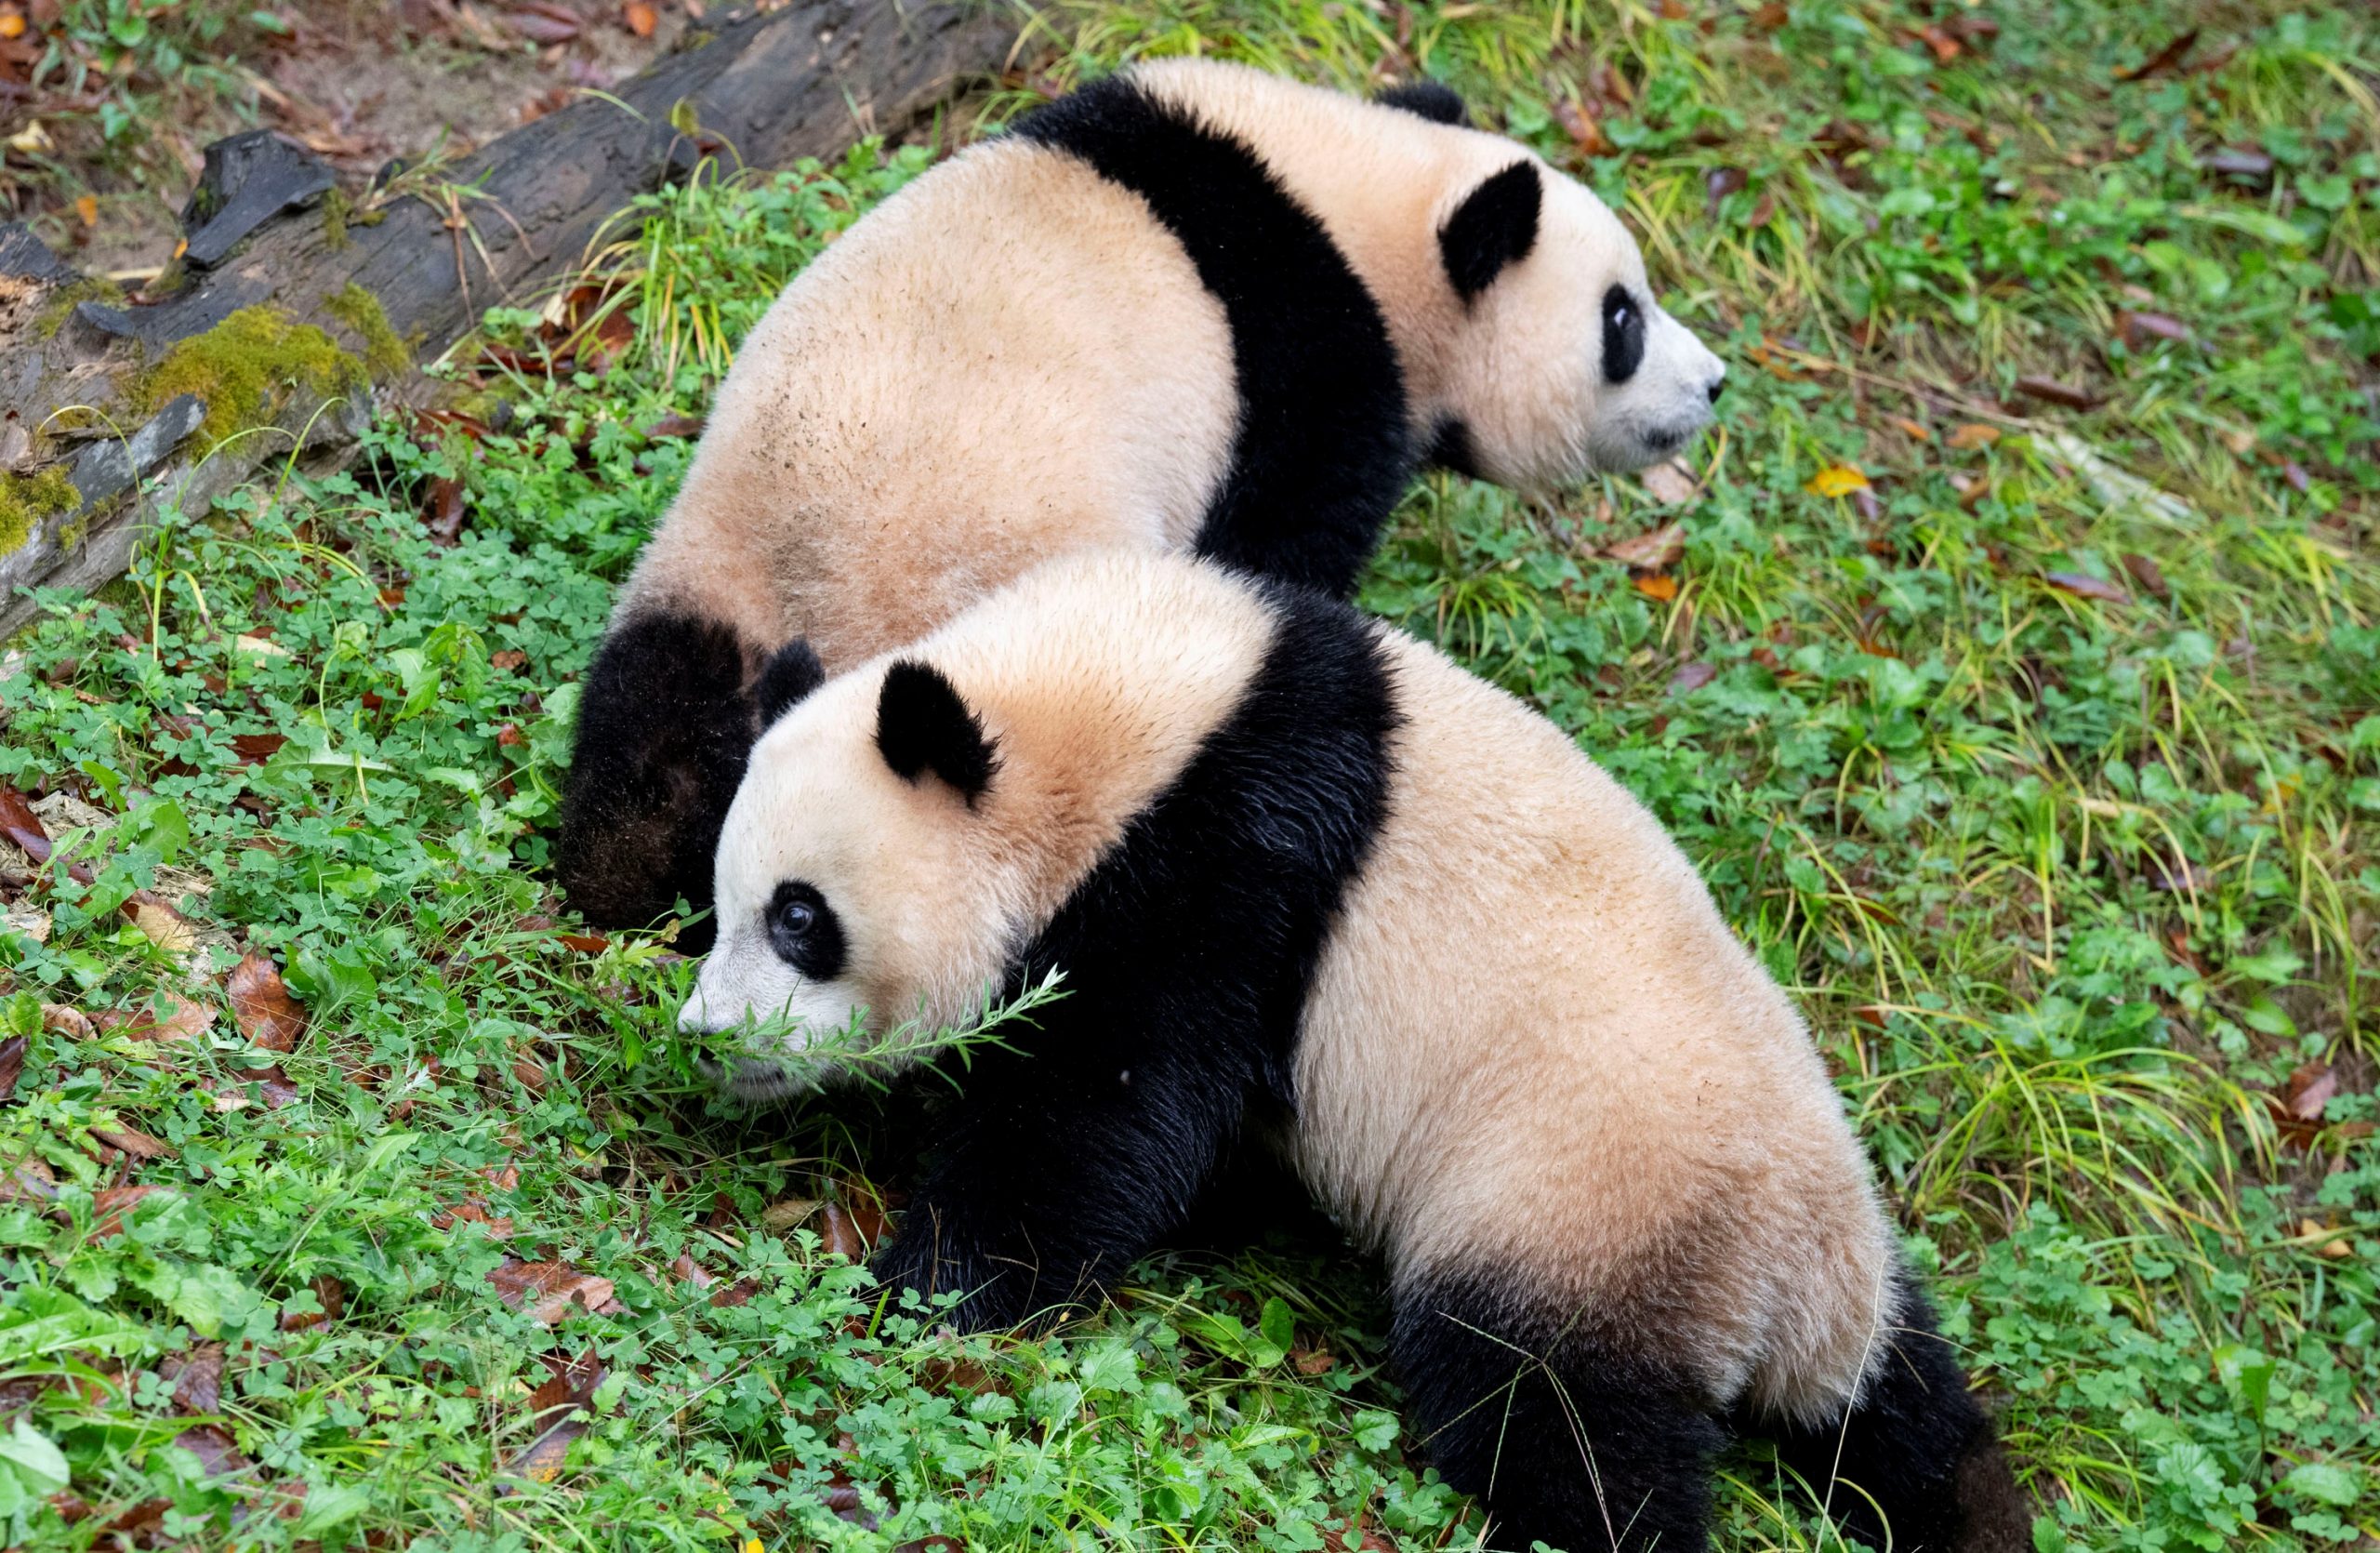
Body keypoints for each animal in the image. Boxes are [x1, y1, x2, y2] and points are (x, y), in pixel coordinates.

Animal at [557, 60, 1732, 952]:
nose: (1713, 385)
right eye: (1622, 319)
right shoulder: (1303, 375)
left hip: (709, 565)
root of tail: (817, 608)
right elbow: (1287, 539)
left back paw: (631, 865)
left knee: (645, 743)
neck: (1358, 204)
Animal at [681, 548, 2037, 1553]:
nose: (705, 1038)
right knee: (1903, 1405)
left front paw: (927, 1281)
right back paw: (1958, 1489)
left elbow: (1101, 1113)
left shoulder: (1229, 866)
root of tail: (1796, 1283)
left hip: (1587, 1194)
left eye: (800, 918)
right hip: (1831, 1251)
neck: (1131, 709)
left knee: (1549, 1406)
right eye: (720, 900)